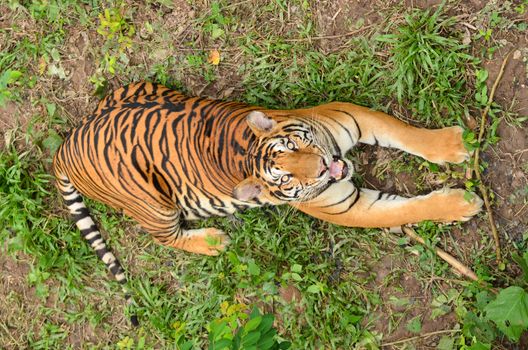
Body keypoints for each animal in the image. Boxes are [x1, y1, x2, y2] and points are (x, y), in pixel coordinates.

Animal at [52, 80, 482, 324]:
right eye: (286, 178)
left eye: (294, 145)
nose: (325, 166)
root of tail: (65, 145)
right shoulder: (348, 204)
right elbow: (411, 207)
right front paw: (463, 204)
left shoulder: (354, 117)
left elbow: (405, 133)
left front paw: (454, 144)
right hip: (155, 205)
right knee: (163, 237)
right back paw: (214, 241)